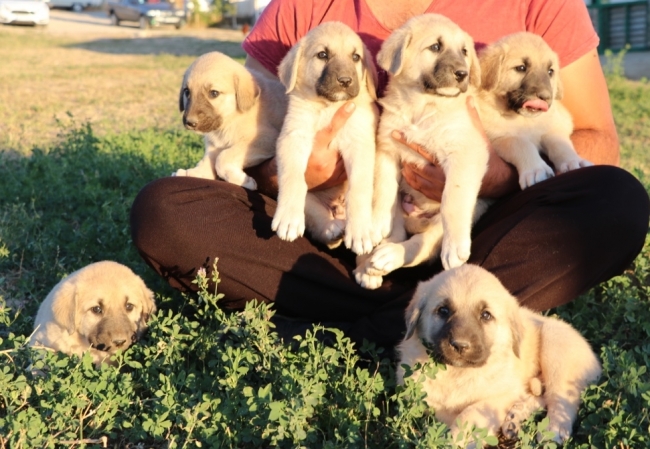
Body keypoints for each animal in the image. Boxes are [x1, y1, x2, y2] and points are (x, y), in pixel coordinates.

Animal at [172, 50, 286, 189]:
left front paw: (245, 181)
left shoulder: (266, 138)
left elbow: (223, 158)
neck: (230, 119)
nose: (190, 122)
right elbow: (206, 162)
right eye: (187, 92)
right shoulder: (214, 144)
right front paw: (191, 172)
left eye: (214, 93)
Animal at [270, 21, 380, 254]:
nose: (345, 81)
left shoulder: (359, 143)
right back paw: (332, 229)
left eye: (356, 57)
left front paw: (360, 231)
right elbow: (293, 178)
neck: (329, 107)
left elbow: (358, 188)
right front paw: (288, 218)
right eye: (322, 55)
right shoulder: (293, 137)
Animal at [354, 13, 486, 288]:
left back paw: (388, 257)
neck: (423, 106)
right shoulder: (387, 148)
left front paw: (455, 246)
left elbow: (453, 197)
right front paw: (377, 222)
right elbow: (383, 189)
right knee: (395, 234)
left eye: (464, 51)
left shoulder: (466, 153)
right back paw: (370, 266)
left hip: (443, 226)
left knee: (419, 247)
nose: (463, 73)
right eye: (435, 47)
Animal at [398, 262, 600, 444]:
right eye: (443, 310)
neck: (458, 373)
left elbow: (468, 414)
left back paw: (554, 430)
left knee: (562, 399)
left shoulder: (504, 394)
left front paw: (456, 440)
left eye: (486, 315)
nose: (460, 345)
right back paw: (513, 421)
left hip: (556, 347)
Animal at [474, 31, 588, 189]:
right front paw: (536, 169)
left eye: (550, 71)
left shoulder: (554, 127)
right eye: (521, 68)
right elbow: (521, 144)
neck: (524, 120)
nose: (545, 97)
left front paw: (573, 161)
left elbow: (560, 143)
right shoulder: (499, 138)